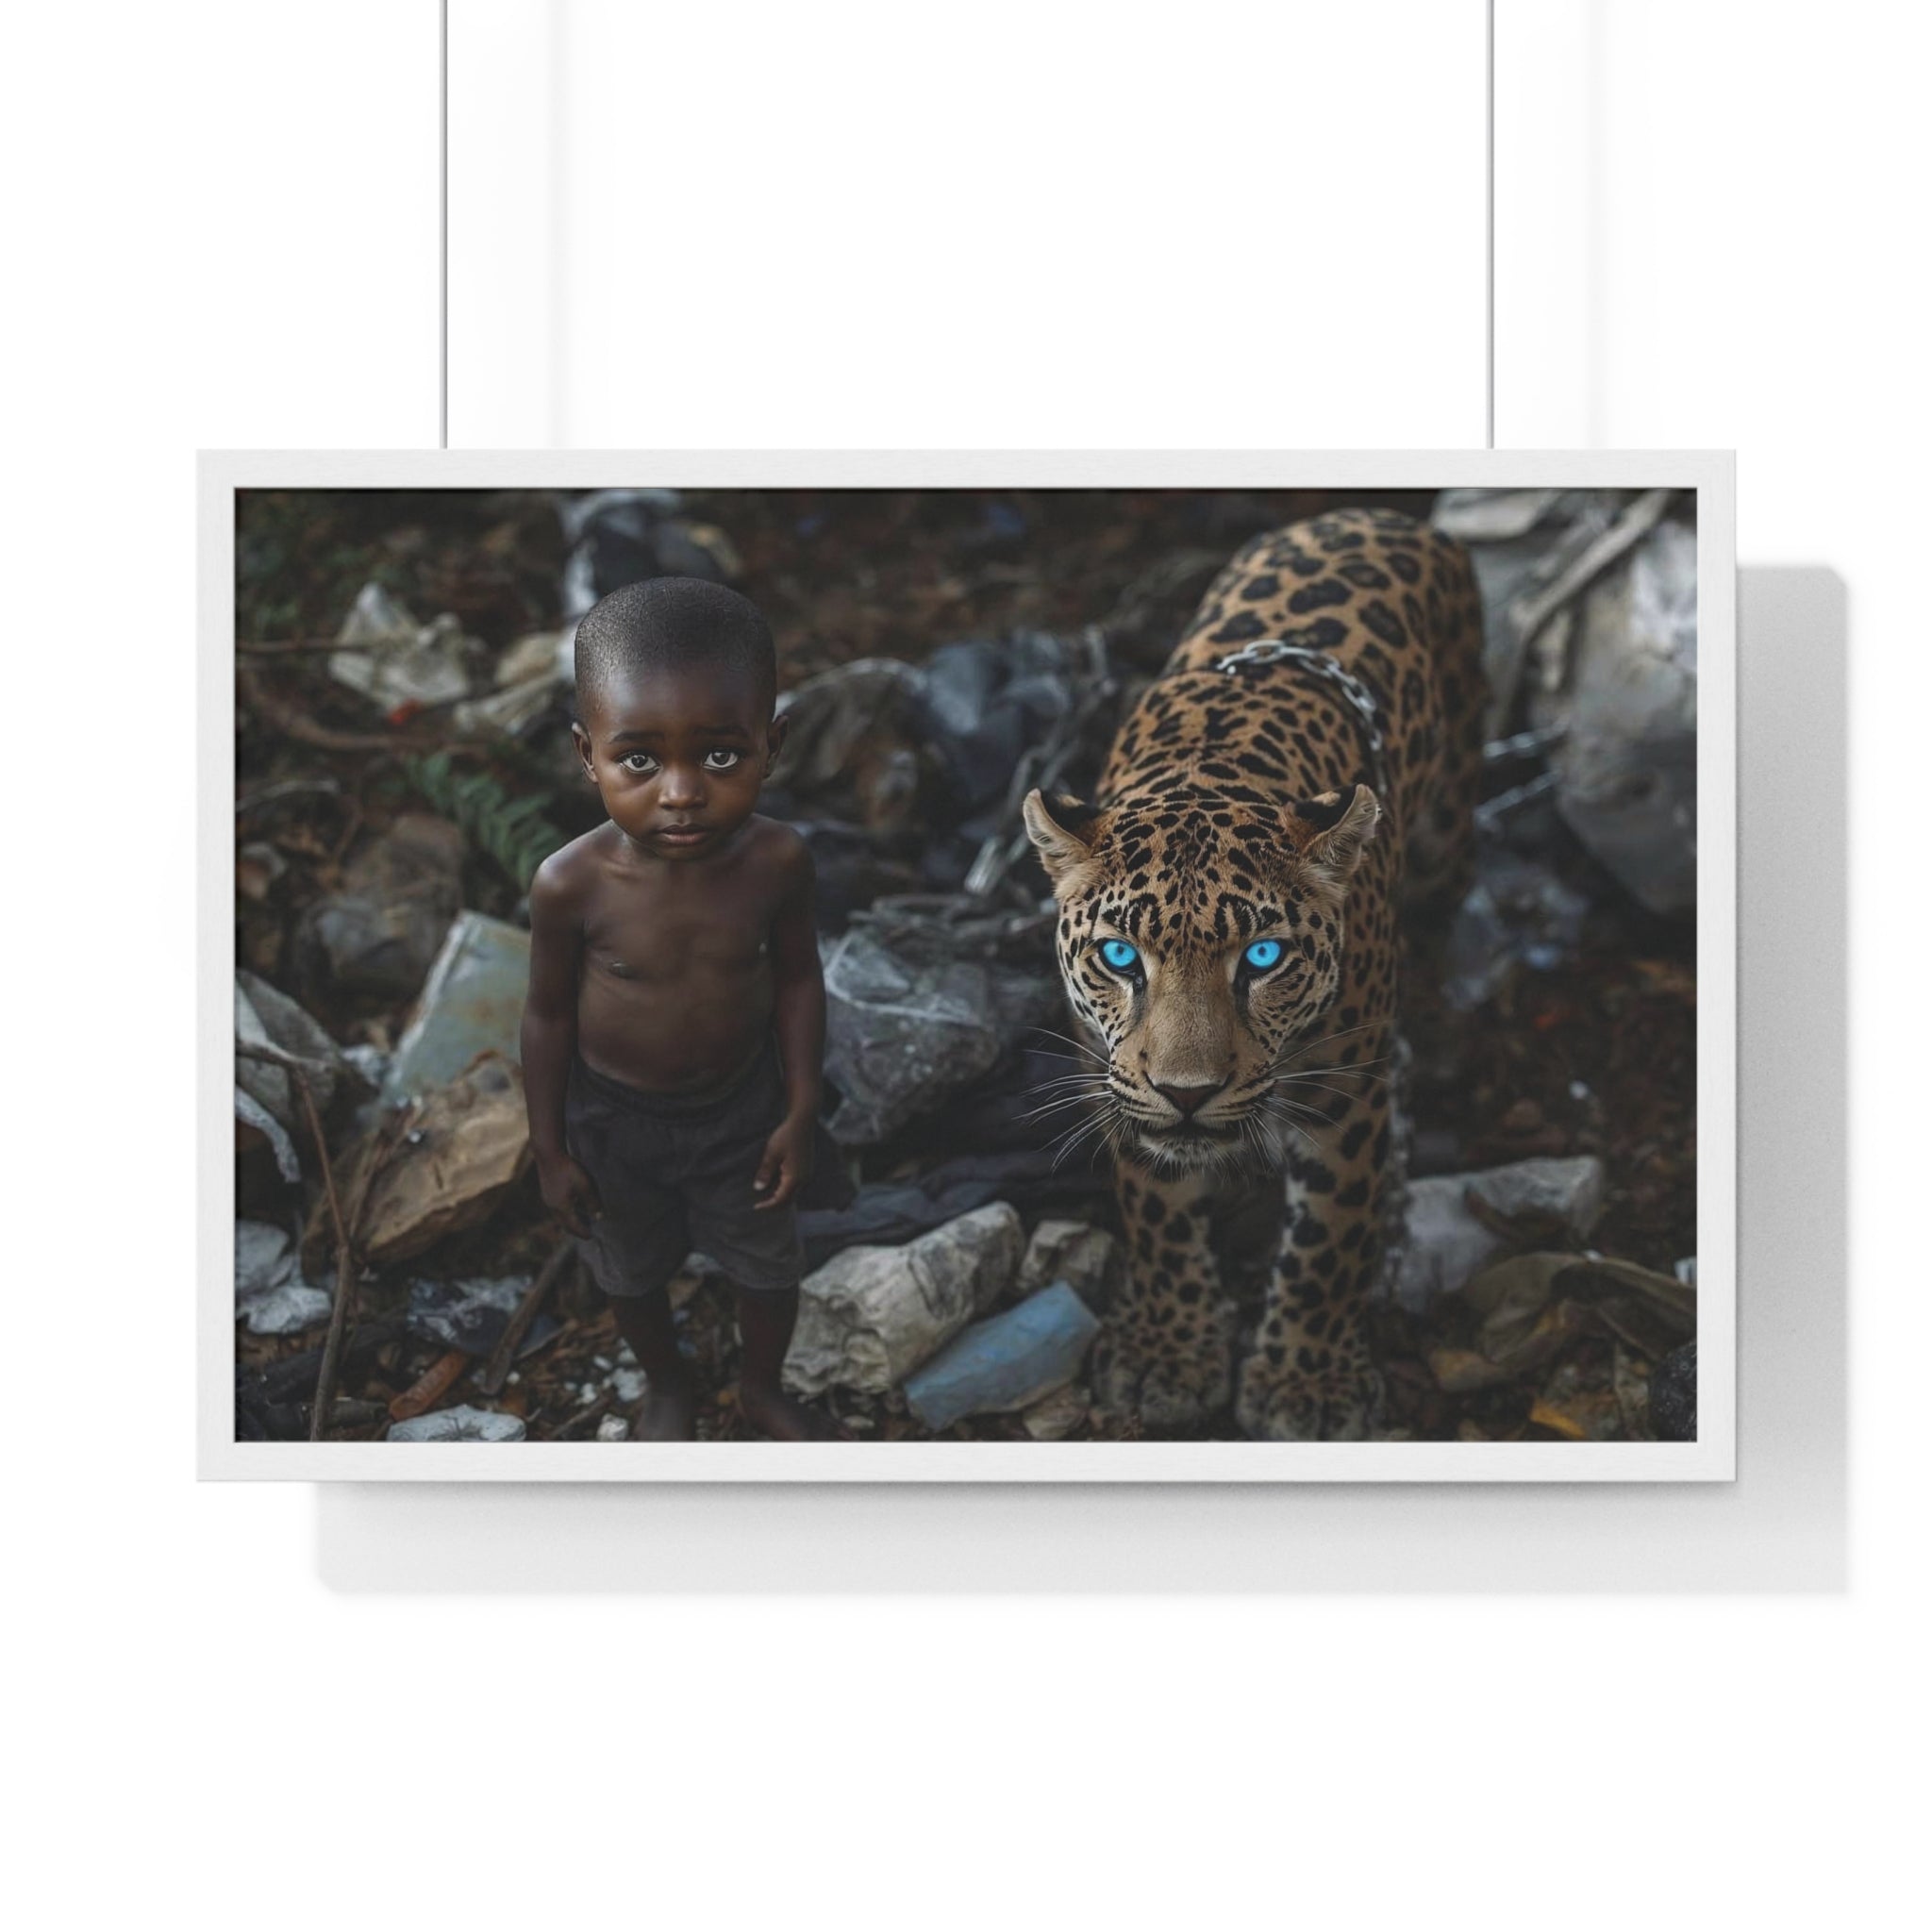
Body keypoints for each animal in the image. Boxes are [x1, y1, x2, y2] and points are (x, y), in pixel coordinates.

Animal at [1022, 506, 1486, 1440]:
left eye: (1263, 958)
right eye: (1120, 957)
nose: (1188, 1093)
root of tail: (1385, 515)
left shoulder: (1348, 1091)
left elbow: (1331, 1238)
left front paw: (1308, 1385)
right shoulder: (1118, 1075)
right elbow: (1156, 1208)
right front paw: (1167, 1352)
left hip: (1447, 822)